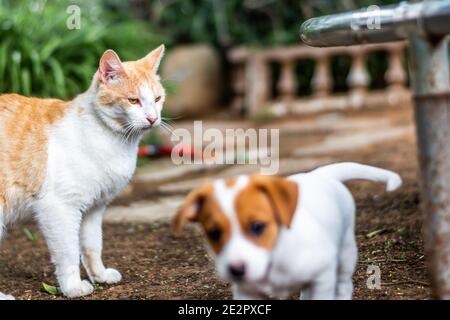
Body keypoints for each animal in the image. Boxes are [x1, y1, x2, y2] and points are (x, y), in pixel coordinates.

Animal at [0, 43, 165, 298]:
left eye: (157, 99)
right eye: (133, 100)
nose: (152, 118)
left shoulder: (95, 208)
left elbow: (92, 246)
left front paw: (99, 275)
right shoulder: (59, 208)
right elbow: (68, 252)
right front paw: (73, 287)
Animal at [174, 162, 402, 300]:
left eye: (257, 227)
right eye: (214, 233)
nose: (236, 269)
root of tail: (320, 175)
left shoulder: (322, 276)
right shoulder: (247, 293)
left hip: (345, 253)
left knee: (344, 285)